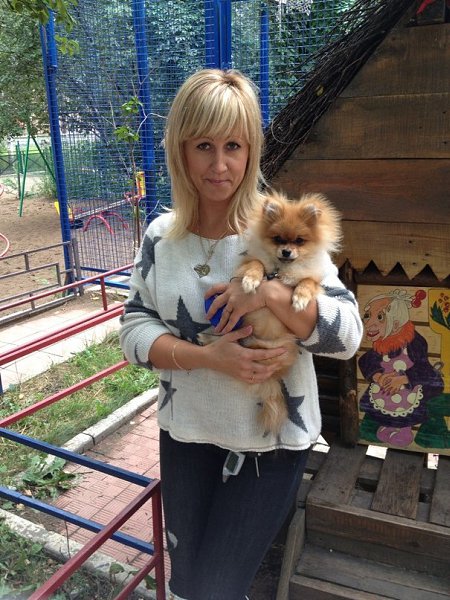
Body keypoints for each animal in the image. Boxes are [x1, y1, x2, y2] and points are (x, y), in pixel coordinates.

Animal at [235, 190, 342, 434]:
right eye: (278, 239)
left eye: (299, 241)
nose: (286, 251)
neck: (281, 269)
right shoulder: (253, 261)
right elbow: (256, 264)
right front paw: (250, 281)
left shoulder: (313, 279)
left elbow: (306, 282)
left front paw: (300, 299)